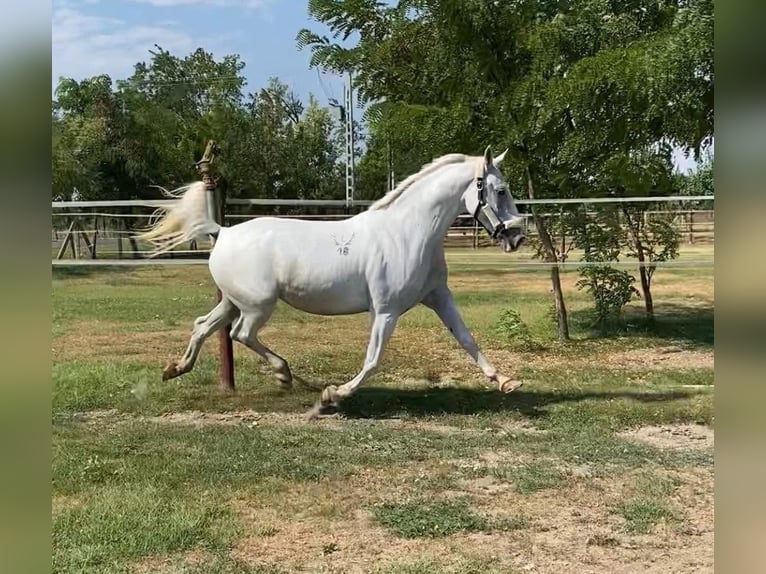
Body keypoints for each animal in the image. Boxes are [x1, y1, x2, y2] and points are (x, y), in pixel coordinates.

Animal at [138, 146, 527, 416]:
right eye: (501, 190)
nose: (517, 237)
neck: (408, 233)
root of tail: (223, 232)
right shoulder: (385, 311)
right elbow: (373, 360)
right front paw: (331, 396)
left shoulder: (438, 296)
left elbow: (467, 339)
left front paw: (506, 381)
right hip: (257, 305)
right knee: (240, 334)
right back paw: (284, 375)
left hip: (234, 302)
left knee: (203, 325)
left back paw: (175, 368)